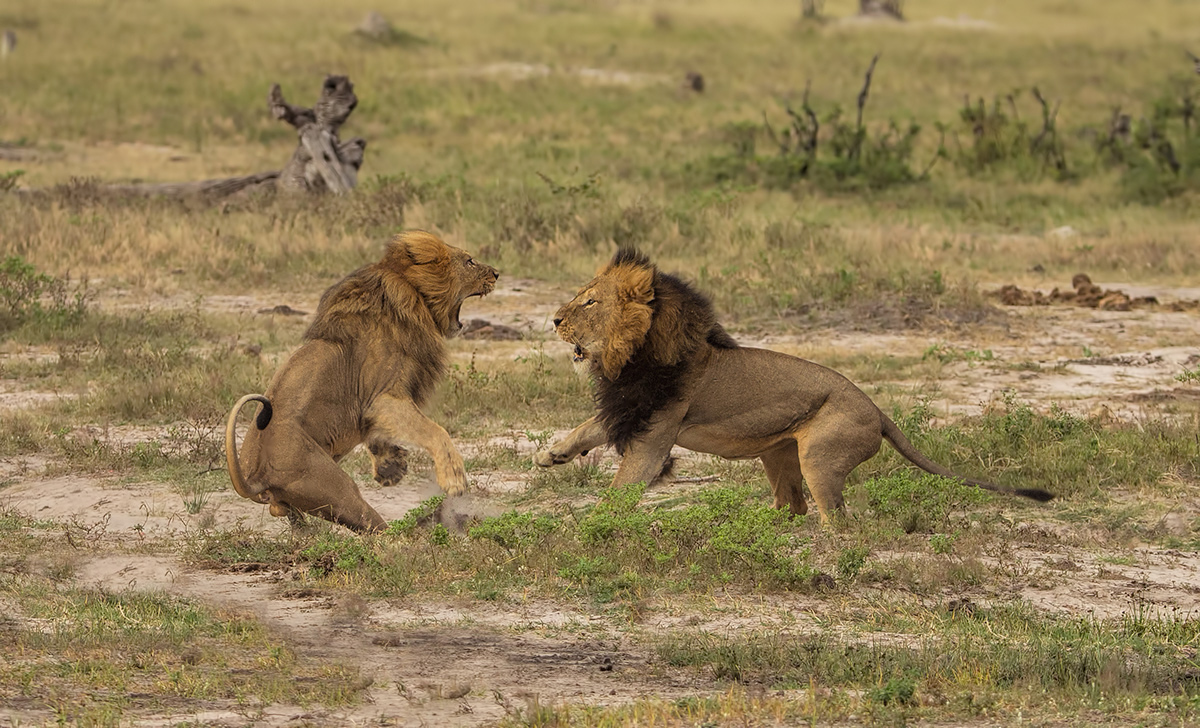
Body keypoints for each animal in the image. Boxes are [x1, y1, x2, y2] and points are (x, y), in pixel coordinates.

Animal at [225, 231, 498, 533]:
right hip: (337, 489)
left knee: (280, 509)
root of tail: (254, 475)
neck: (414, 298)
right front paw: (454, 479)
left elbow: (381, 434)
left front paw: (391, 469)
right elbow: (435, 431)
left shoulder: (373, 407)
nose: (497, 273)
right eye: (469, 261)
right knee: (375, 527)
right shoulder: (383, 397)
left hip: (294, 498)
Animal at [535, 249, 1053, 524]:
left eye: (590, 302)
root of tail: (878, 411)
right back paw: (756, 528)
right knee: (792, 506)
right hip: (779, 454)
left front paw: (590, 528)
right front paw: (551, 455)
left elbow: (619, 490)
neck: (632, 356)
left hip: (820, 457)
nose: (554, 319)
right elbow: (588, 427)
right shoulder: (630, 409)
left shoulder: (654, 435)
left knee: (837, 521)